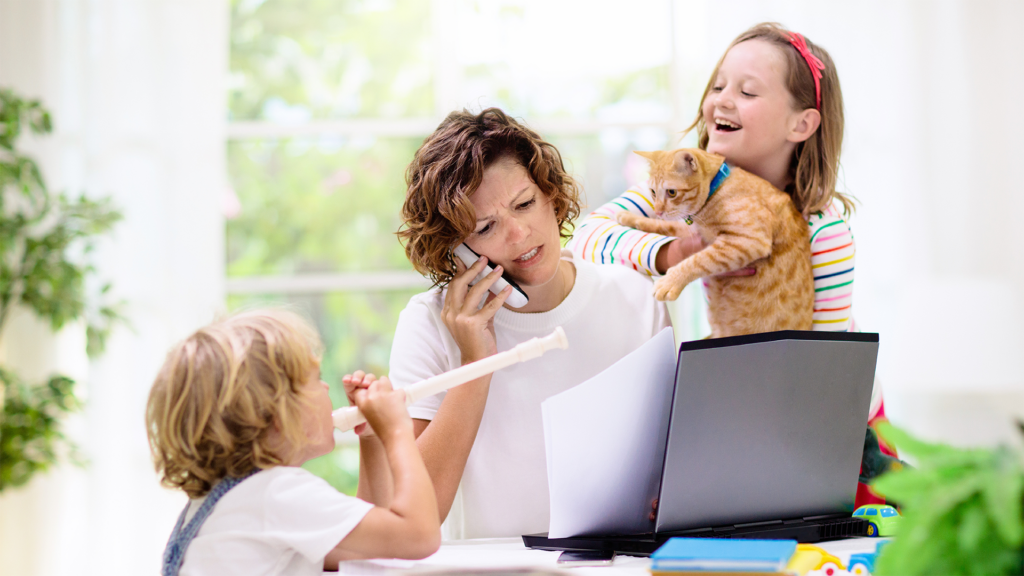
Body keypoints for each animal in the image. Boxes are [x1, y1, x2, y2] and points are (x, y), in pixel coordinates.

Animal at [614, 146, 815, 336]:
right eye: (653, 192)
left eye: (671, 192)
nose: (657, 210)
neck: (717, 188)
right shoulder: (696, 232)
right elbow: (664, 226)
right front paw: (630, 217)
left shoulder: (749, 240)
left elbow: (698, 260)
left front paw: (671, 281)